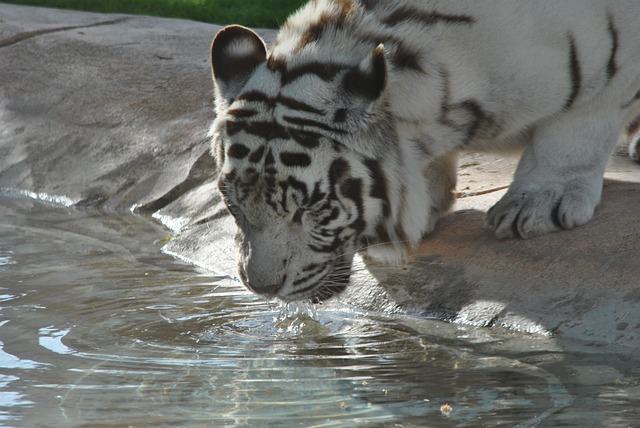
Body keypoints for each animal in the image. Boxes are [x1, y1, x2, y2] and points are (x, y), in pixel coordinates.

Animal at [209, 0, 640, 302]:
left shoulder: (615, 61)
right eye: (233, 206)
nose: (261, 288)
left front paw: (536, 206)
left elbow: (576, 128)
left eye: (310, 209)